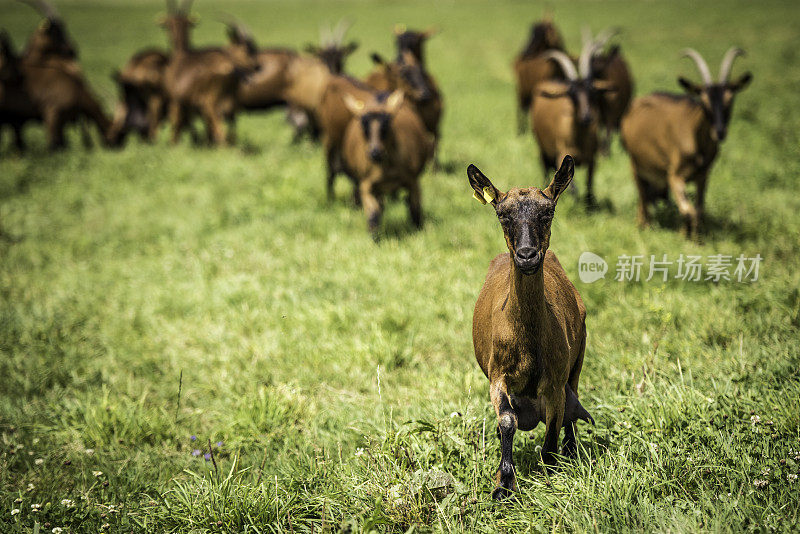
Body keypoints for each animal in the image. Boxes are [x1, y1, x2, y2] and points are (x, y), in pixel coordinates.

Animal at [340, 91, 434, 241]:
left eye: (386, 125)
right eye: (364, 127)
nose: (375, 152)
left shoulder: (413, 180)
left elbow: (415, 210)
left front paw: (418, 233)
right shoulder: (366, 184)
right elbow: (373, 214)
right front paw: (375, 238)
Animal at [466, 156, 592, 502]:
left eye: (548, 212)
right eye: (502, 214)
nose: (526, 255)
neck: (529, 341)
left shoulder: (555, 381)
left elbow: (552, 432)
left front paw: (550, 476)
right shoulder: (498, 376)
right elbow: (507, 421)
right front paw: (503, 485)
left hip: (577, 360)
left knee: (572, 403)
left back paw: (571, 450)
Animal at [532, 47, 612, 206]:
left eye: (592, 91)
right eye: (571, 94)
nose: (586, 116)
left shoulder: (592, 158)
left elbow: (589, 182)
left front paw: (589, 204)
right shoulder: (561, 154)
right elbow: (572, 188)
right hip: (542, 148)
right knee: (545, 168)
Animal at [620, 46, 752, 237]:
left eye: (730, 100)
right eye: (704, 102)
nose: (720, 132)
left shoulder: (703, 176)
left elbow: (698, 210)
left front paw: (694, 238)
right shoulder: (674, 175)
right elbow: (688, 210)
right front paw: (683, 236)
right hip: (636, 166)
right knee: (643, 198)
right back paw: (644, 226)